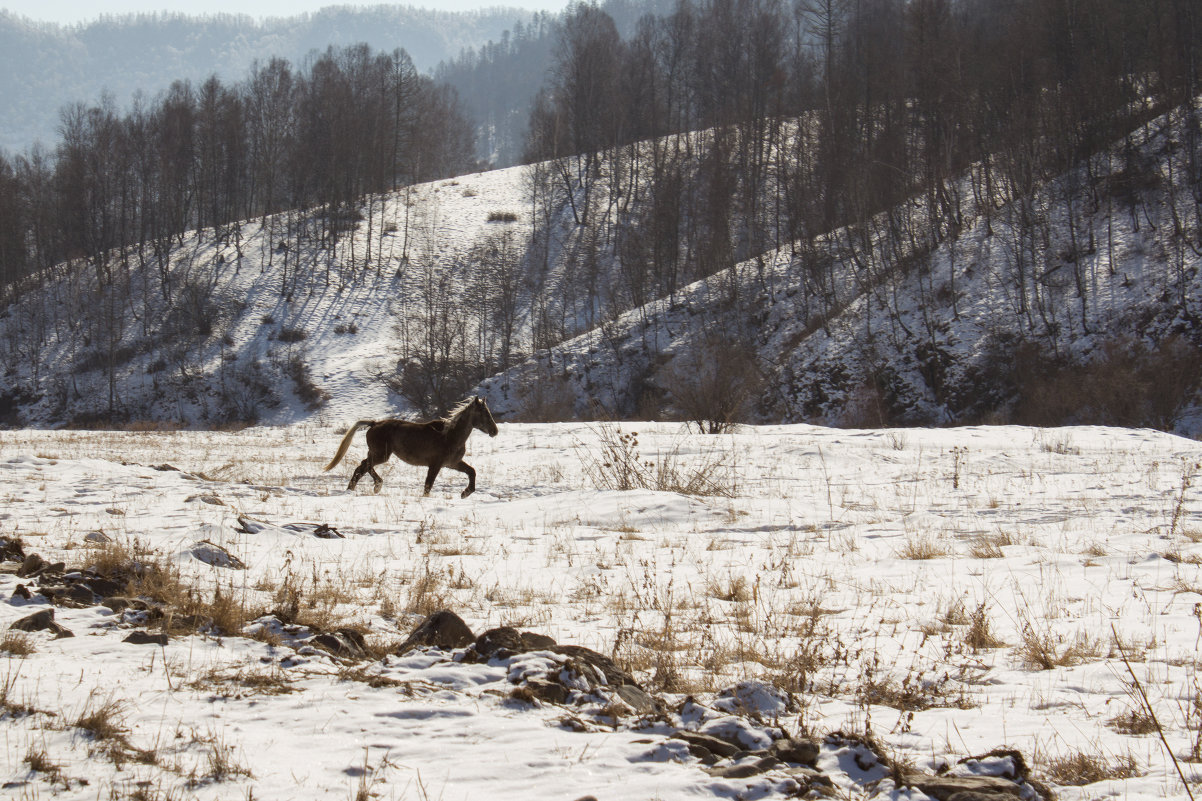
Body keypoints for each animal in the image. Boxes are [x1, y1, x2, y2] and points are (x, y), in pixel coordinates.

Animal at [322, 396, 500, 495]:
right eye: (483, 412)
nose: (495, 431)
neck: (450, 435)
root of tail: (374, 423)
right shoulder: (435, 465)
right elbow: (428, 486)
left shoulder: (453, 463)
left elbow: (472, 472)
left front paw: (465, 493)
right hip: (381, 454)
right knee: (364, 466)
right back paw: (371, 486)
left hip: (377, 453)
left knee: (363, 467)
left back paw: (360, 488)